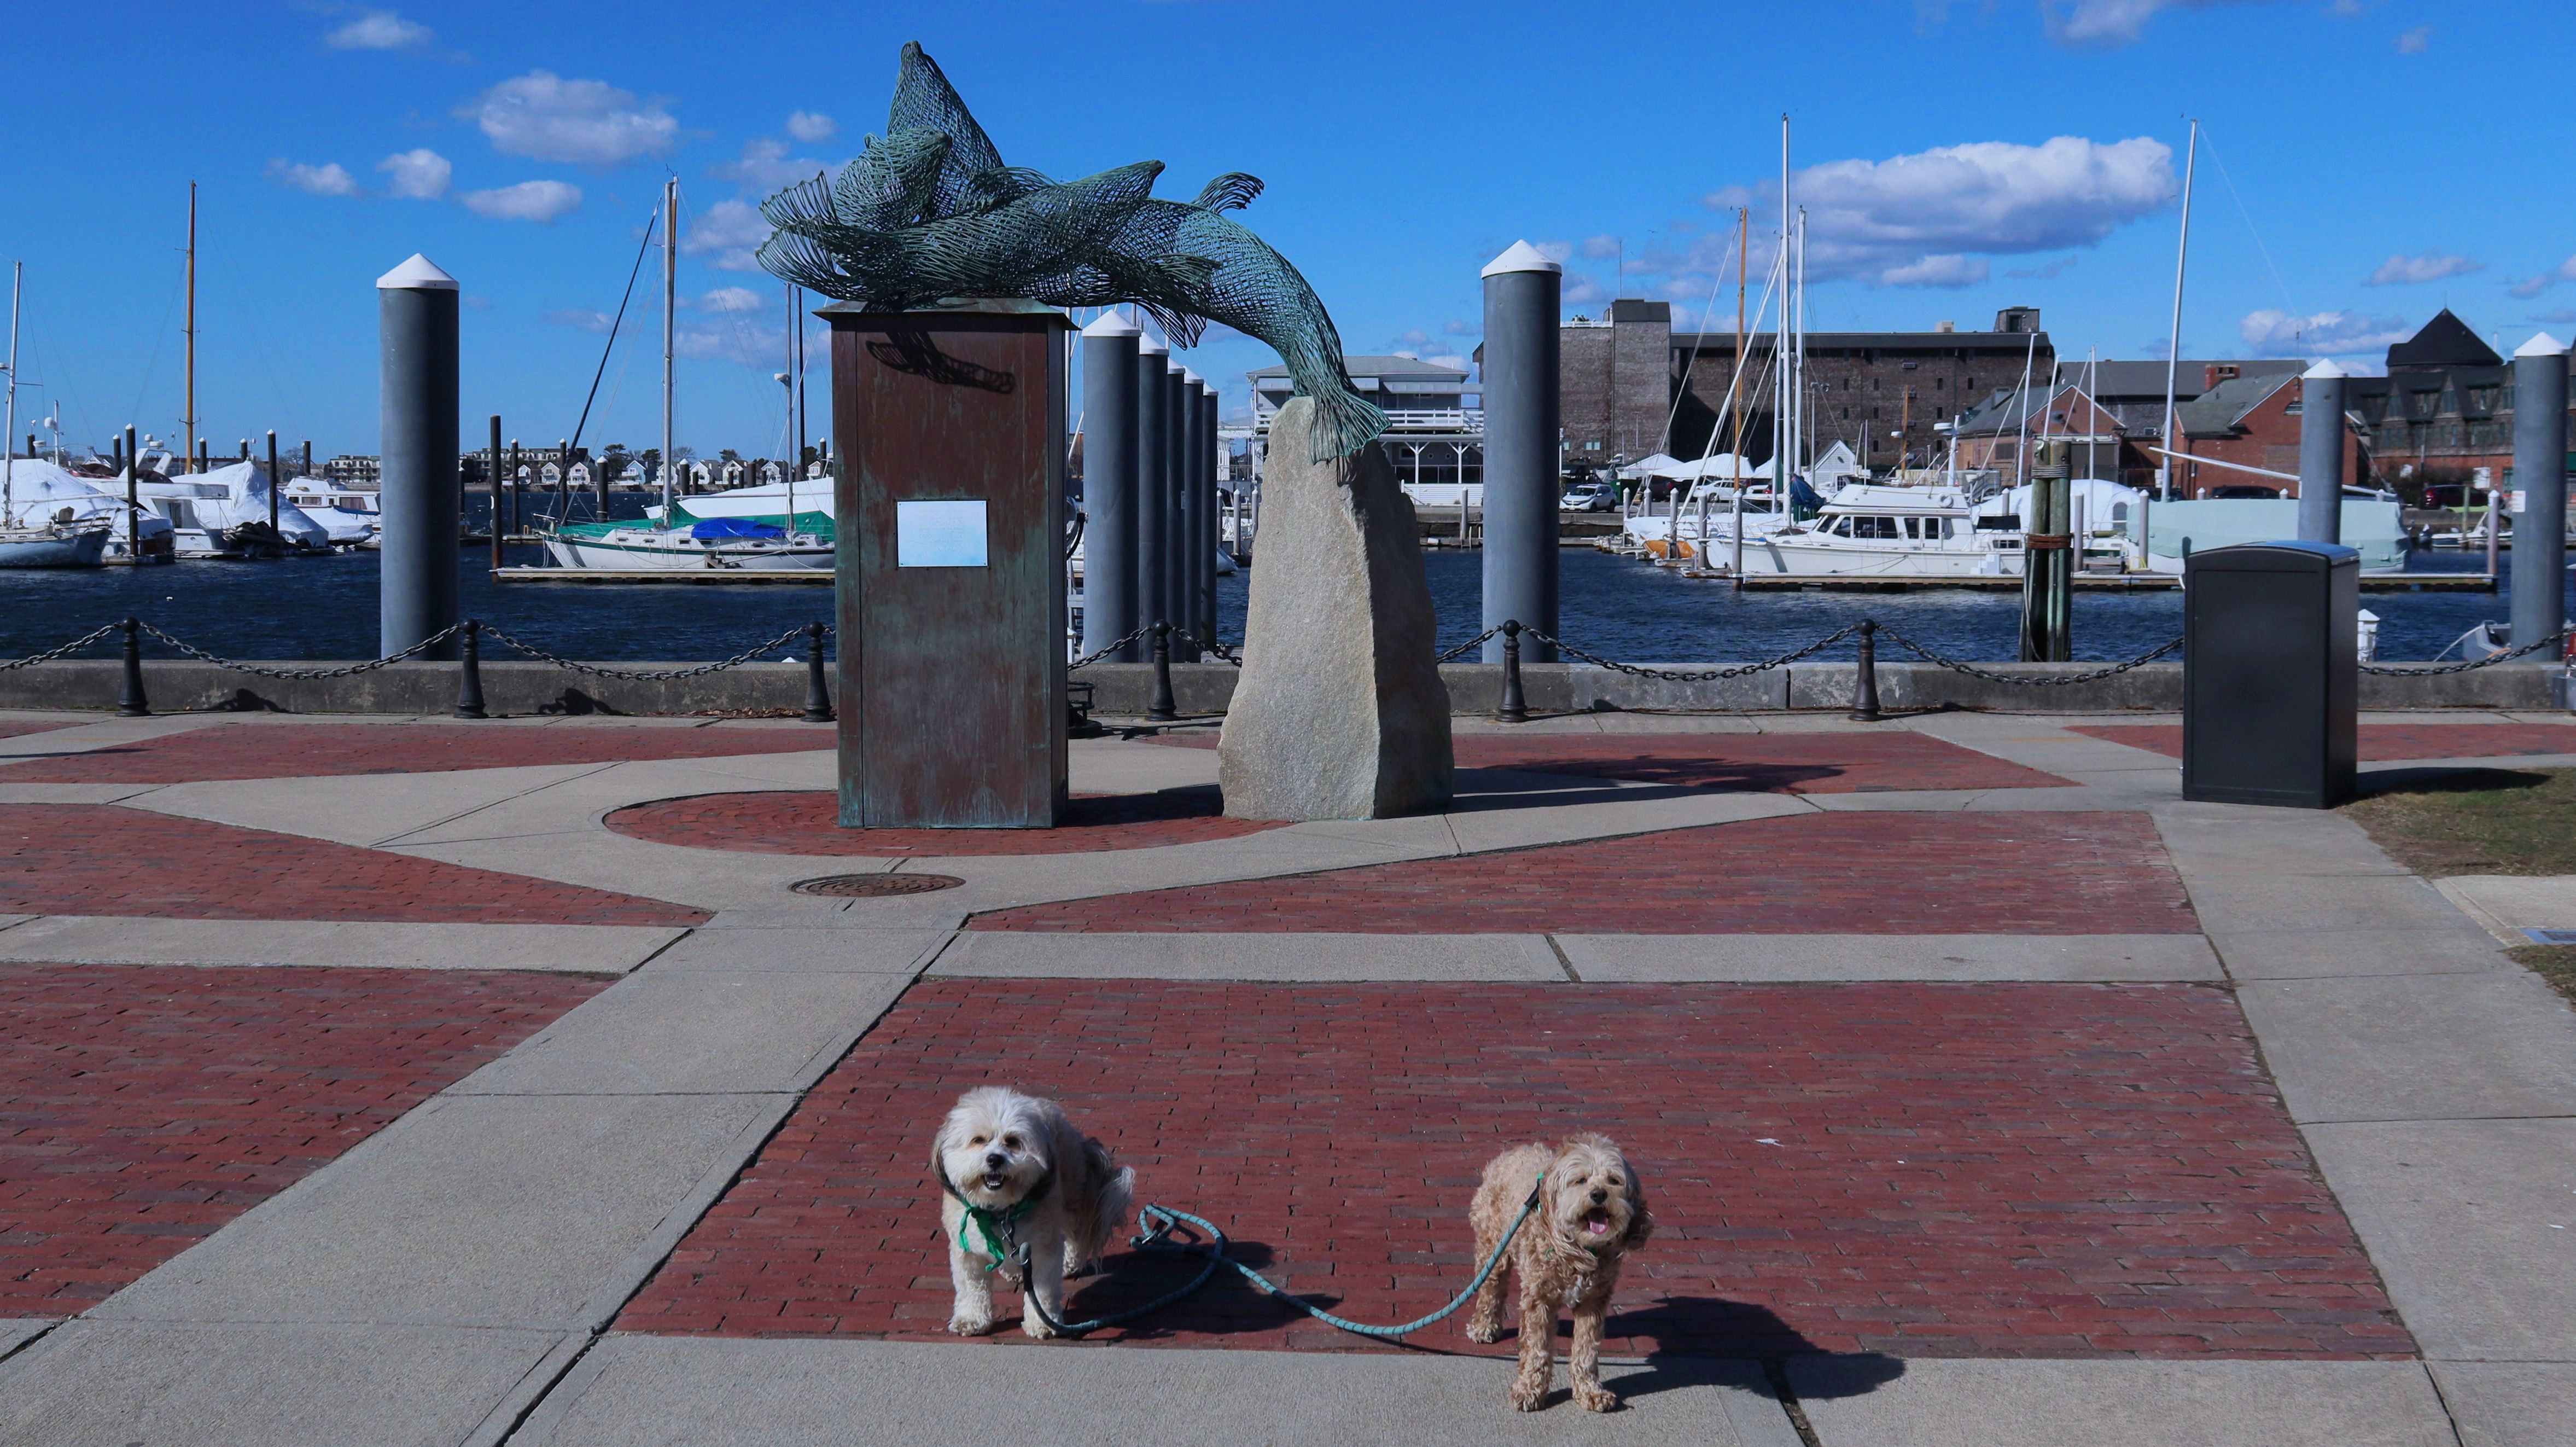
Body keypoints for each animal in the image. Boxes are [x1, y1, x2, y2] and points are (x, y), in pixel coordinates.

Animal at [933, 1086, 1135, 1338]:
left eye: (1012, 1142)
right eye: (978, 1140)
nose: (994, 1159)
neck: (1002, 1212)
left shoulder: (1042, 1248)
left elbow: (1042, 1290)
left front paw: (1043, 1323)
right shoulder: (967, 1251)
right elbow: (972, 1289)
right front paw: (971, 1320)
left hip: (1071, 1192)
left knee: (1076, 1233)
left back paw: (1069, 1262)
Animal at [1464, 1134, 1653, 1412]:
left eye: (1614, 1180)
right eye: (1581, 1180)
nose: (1599, 1194)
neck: (1579, 1249)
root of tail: (1516, 1151)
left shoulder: (1593, 1301)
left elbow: (1586, 1351)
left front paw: (1590, 1392)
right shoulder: (1538, 1300)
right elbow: (1536, 1349)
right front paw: (1530, 1390)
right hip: (1493, 1247)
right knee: (1491, 1290)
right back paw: (1484, 1327)